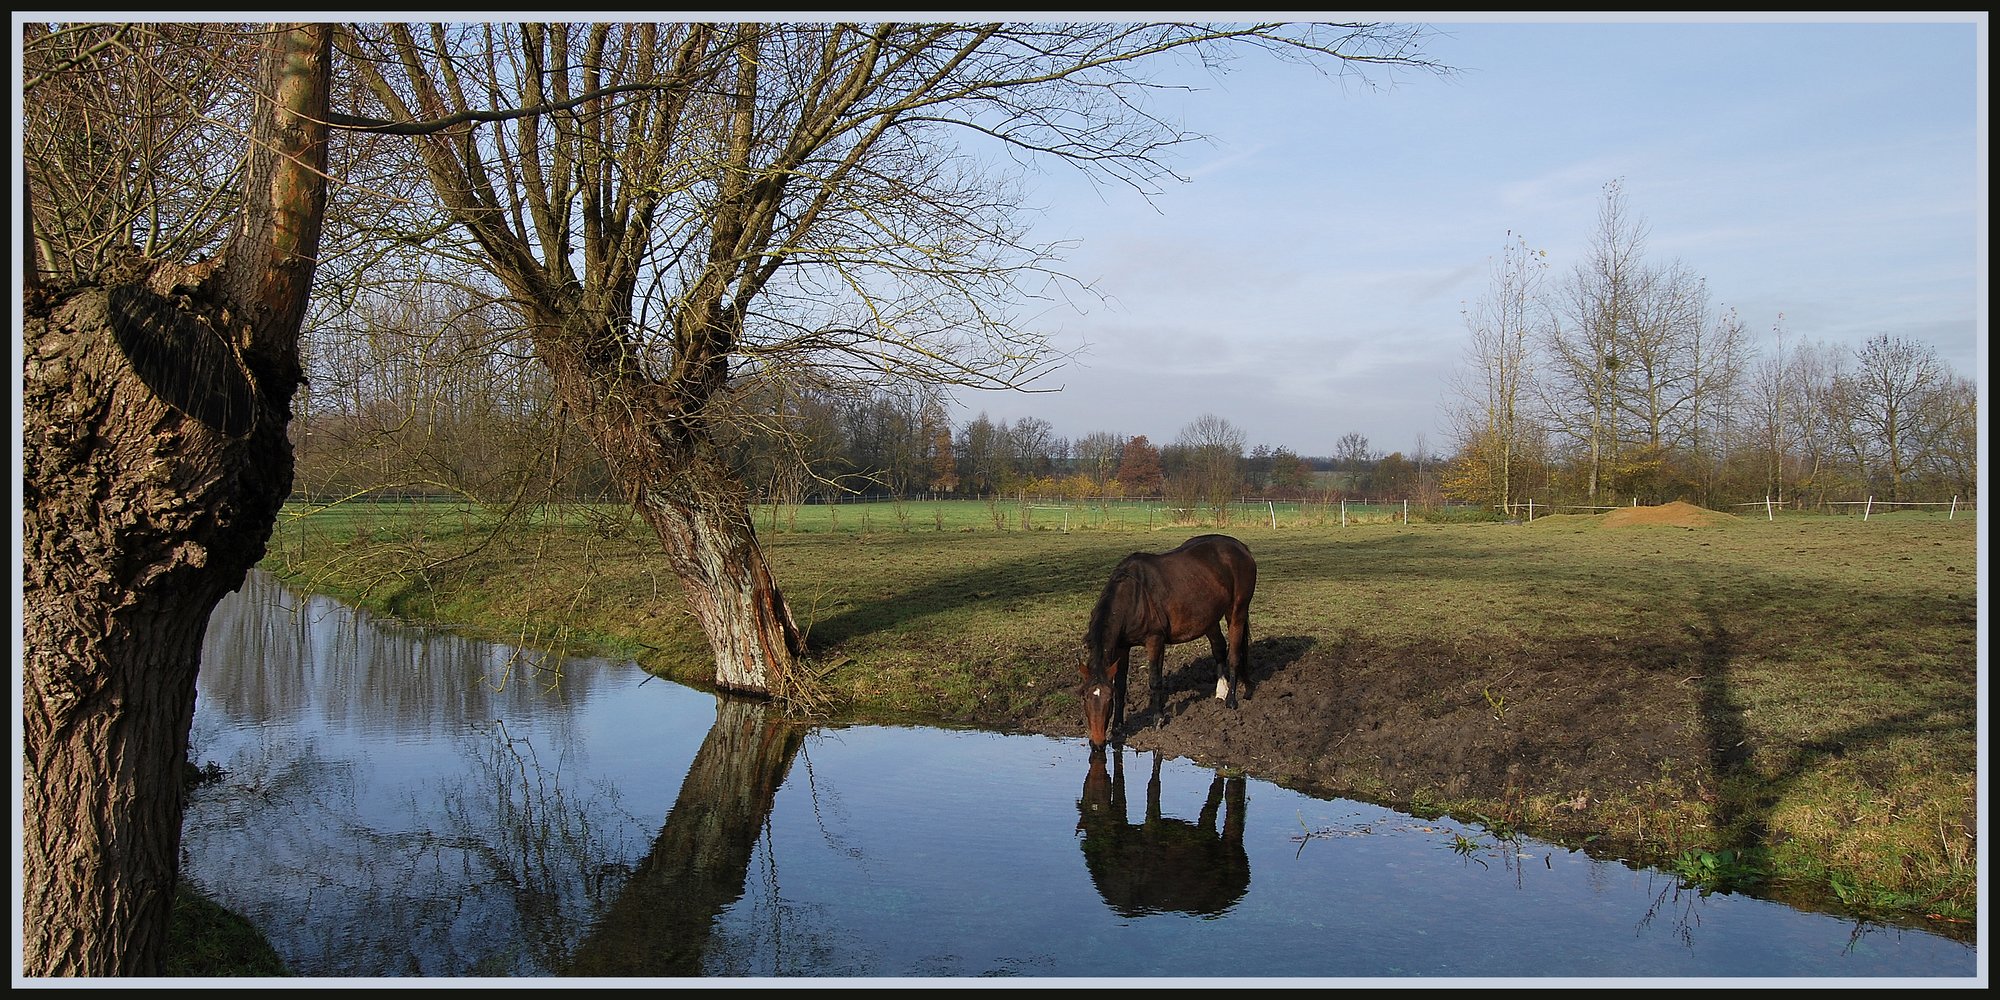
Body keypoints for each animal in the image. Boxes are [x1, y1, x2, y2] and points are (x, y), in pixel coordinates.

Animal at [1080, 536, 1248, 748]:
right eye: (1084, 697)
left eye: (1108, 700)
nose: (1097, 742)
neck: (1133, 597)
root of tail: (1240, 547)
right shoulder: (1122, 647)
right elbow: (1121, 684)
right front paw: (1118, 726)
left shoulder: (1154, 640)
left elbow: (1155, 680)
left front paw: (1158, 719)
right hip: (1210, 619)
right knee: (1219, 648)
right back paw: (1221, 691)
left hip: (1237, 613)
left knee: (1234, 655)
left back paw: (1231, 701)